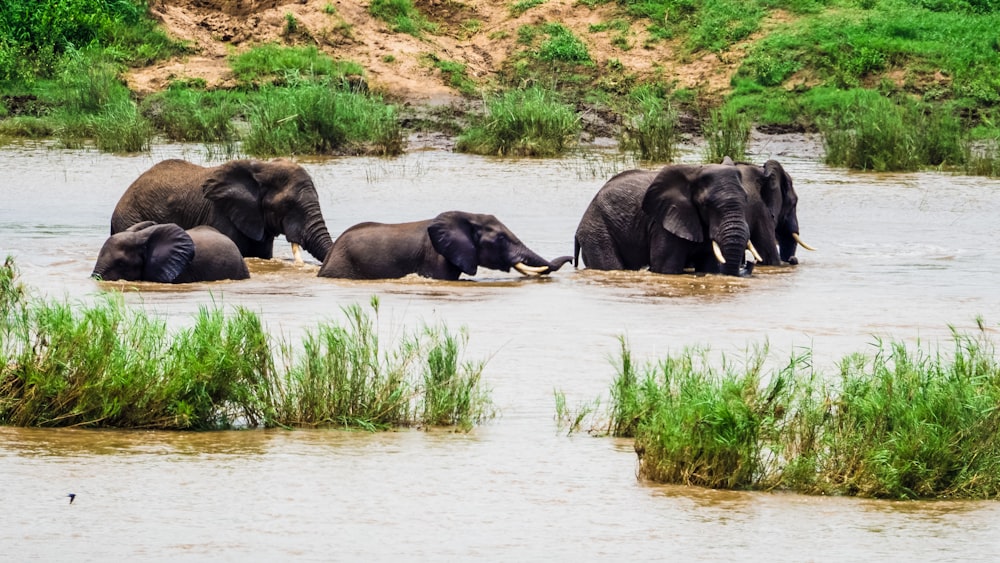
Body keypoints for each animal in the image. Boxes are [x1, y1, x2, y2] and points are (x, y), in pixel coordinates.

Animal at [576, 163, 752, 278]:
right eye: (706, 204)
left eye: (746, 199)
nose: (749, 264)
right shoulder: (664, 222)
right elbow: (666, 268)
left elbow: (708, 264)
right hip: (596, 231)